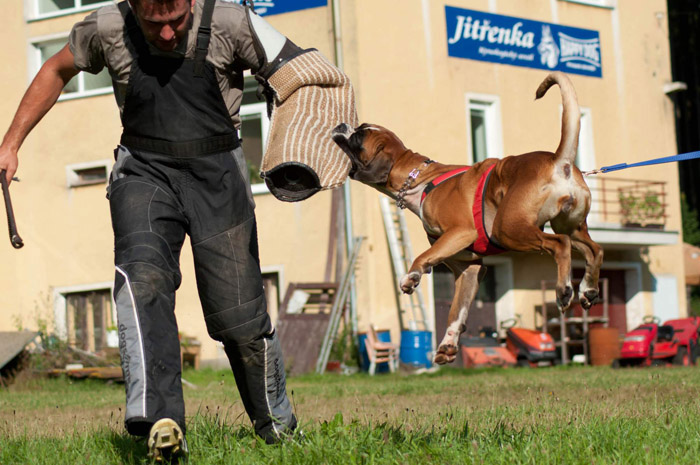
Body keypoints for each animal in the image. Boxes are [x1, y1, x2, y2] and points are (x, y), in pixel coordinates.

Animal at [332, 71, 600, 366]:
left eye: (359, 135)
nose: (342, 123)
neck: (419, 179)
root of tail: (558, 161)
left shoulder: (459, 233)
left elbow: (423, 257)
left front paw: (412, 277)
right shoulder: (468, 268)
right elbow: (456, 311)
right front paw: (448, 344)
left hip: (509, 229)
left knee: (560, 244)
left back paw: (564, 290)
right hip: (571, 226)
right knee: (594, 249)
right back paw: (587, 288)